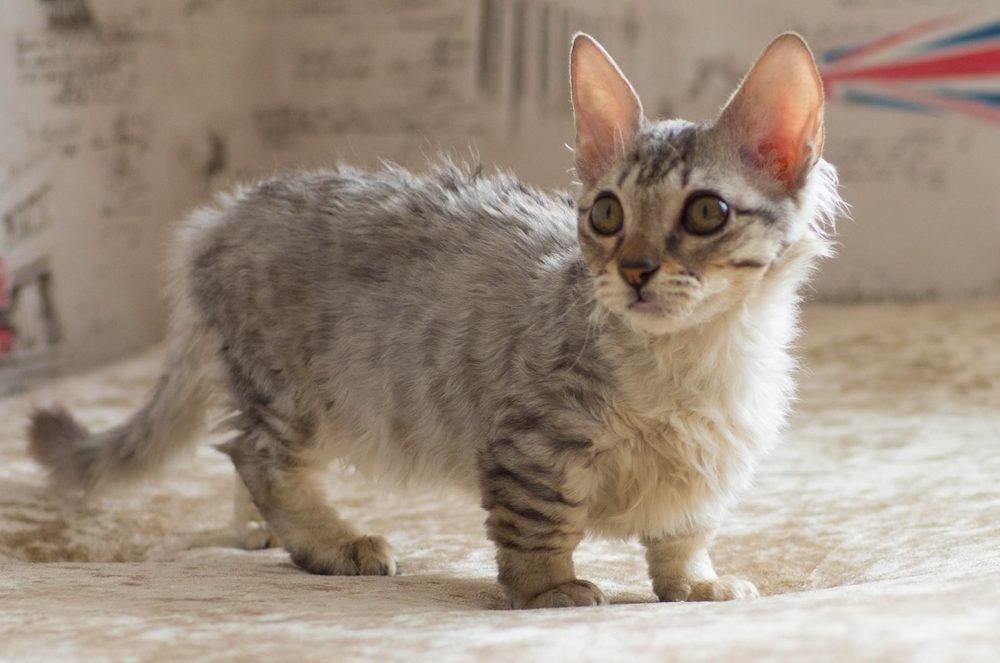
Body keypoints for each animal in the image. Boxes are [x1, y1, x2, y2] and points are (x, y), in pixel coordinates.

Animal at [27, 33, 836, 608]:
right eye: (607, 215)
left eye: (705, 213)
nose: (634, 270)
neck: (692, 363)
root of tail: (219, 218)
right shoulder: (532, 445)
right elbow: (538, 530)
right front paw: (549, 590)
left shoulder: (709, 466)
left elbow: (681, 536)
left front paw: (694, 584)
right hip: (286, 386)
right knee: (259, 458)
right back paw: (331, 543)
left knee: (240, 461)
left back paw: (258, 533)